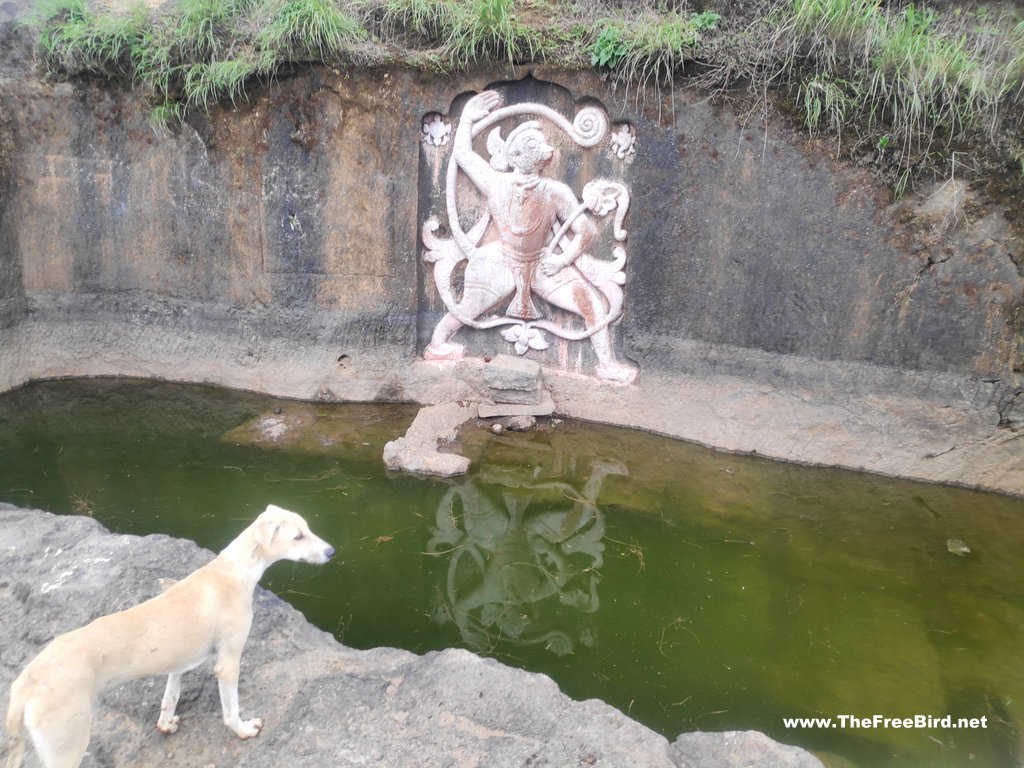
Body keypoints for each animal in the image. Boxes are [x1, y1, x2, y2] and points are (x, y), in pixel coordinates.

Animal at [2, 505, 333, 768]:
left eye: (308, 528)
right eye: (298, 537)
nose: (332, 552)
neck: (233, 570)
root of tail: (23, 685)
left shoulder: (178, 665)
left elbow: (169, 698)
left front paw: (166, 725)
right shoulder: (227, 663)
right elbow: (230, 709)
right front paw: (244, 729)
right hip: (67, 745)